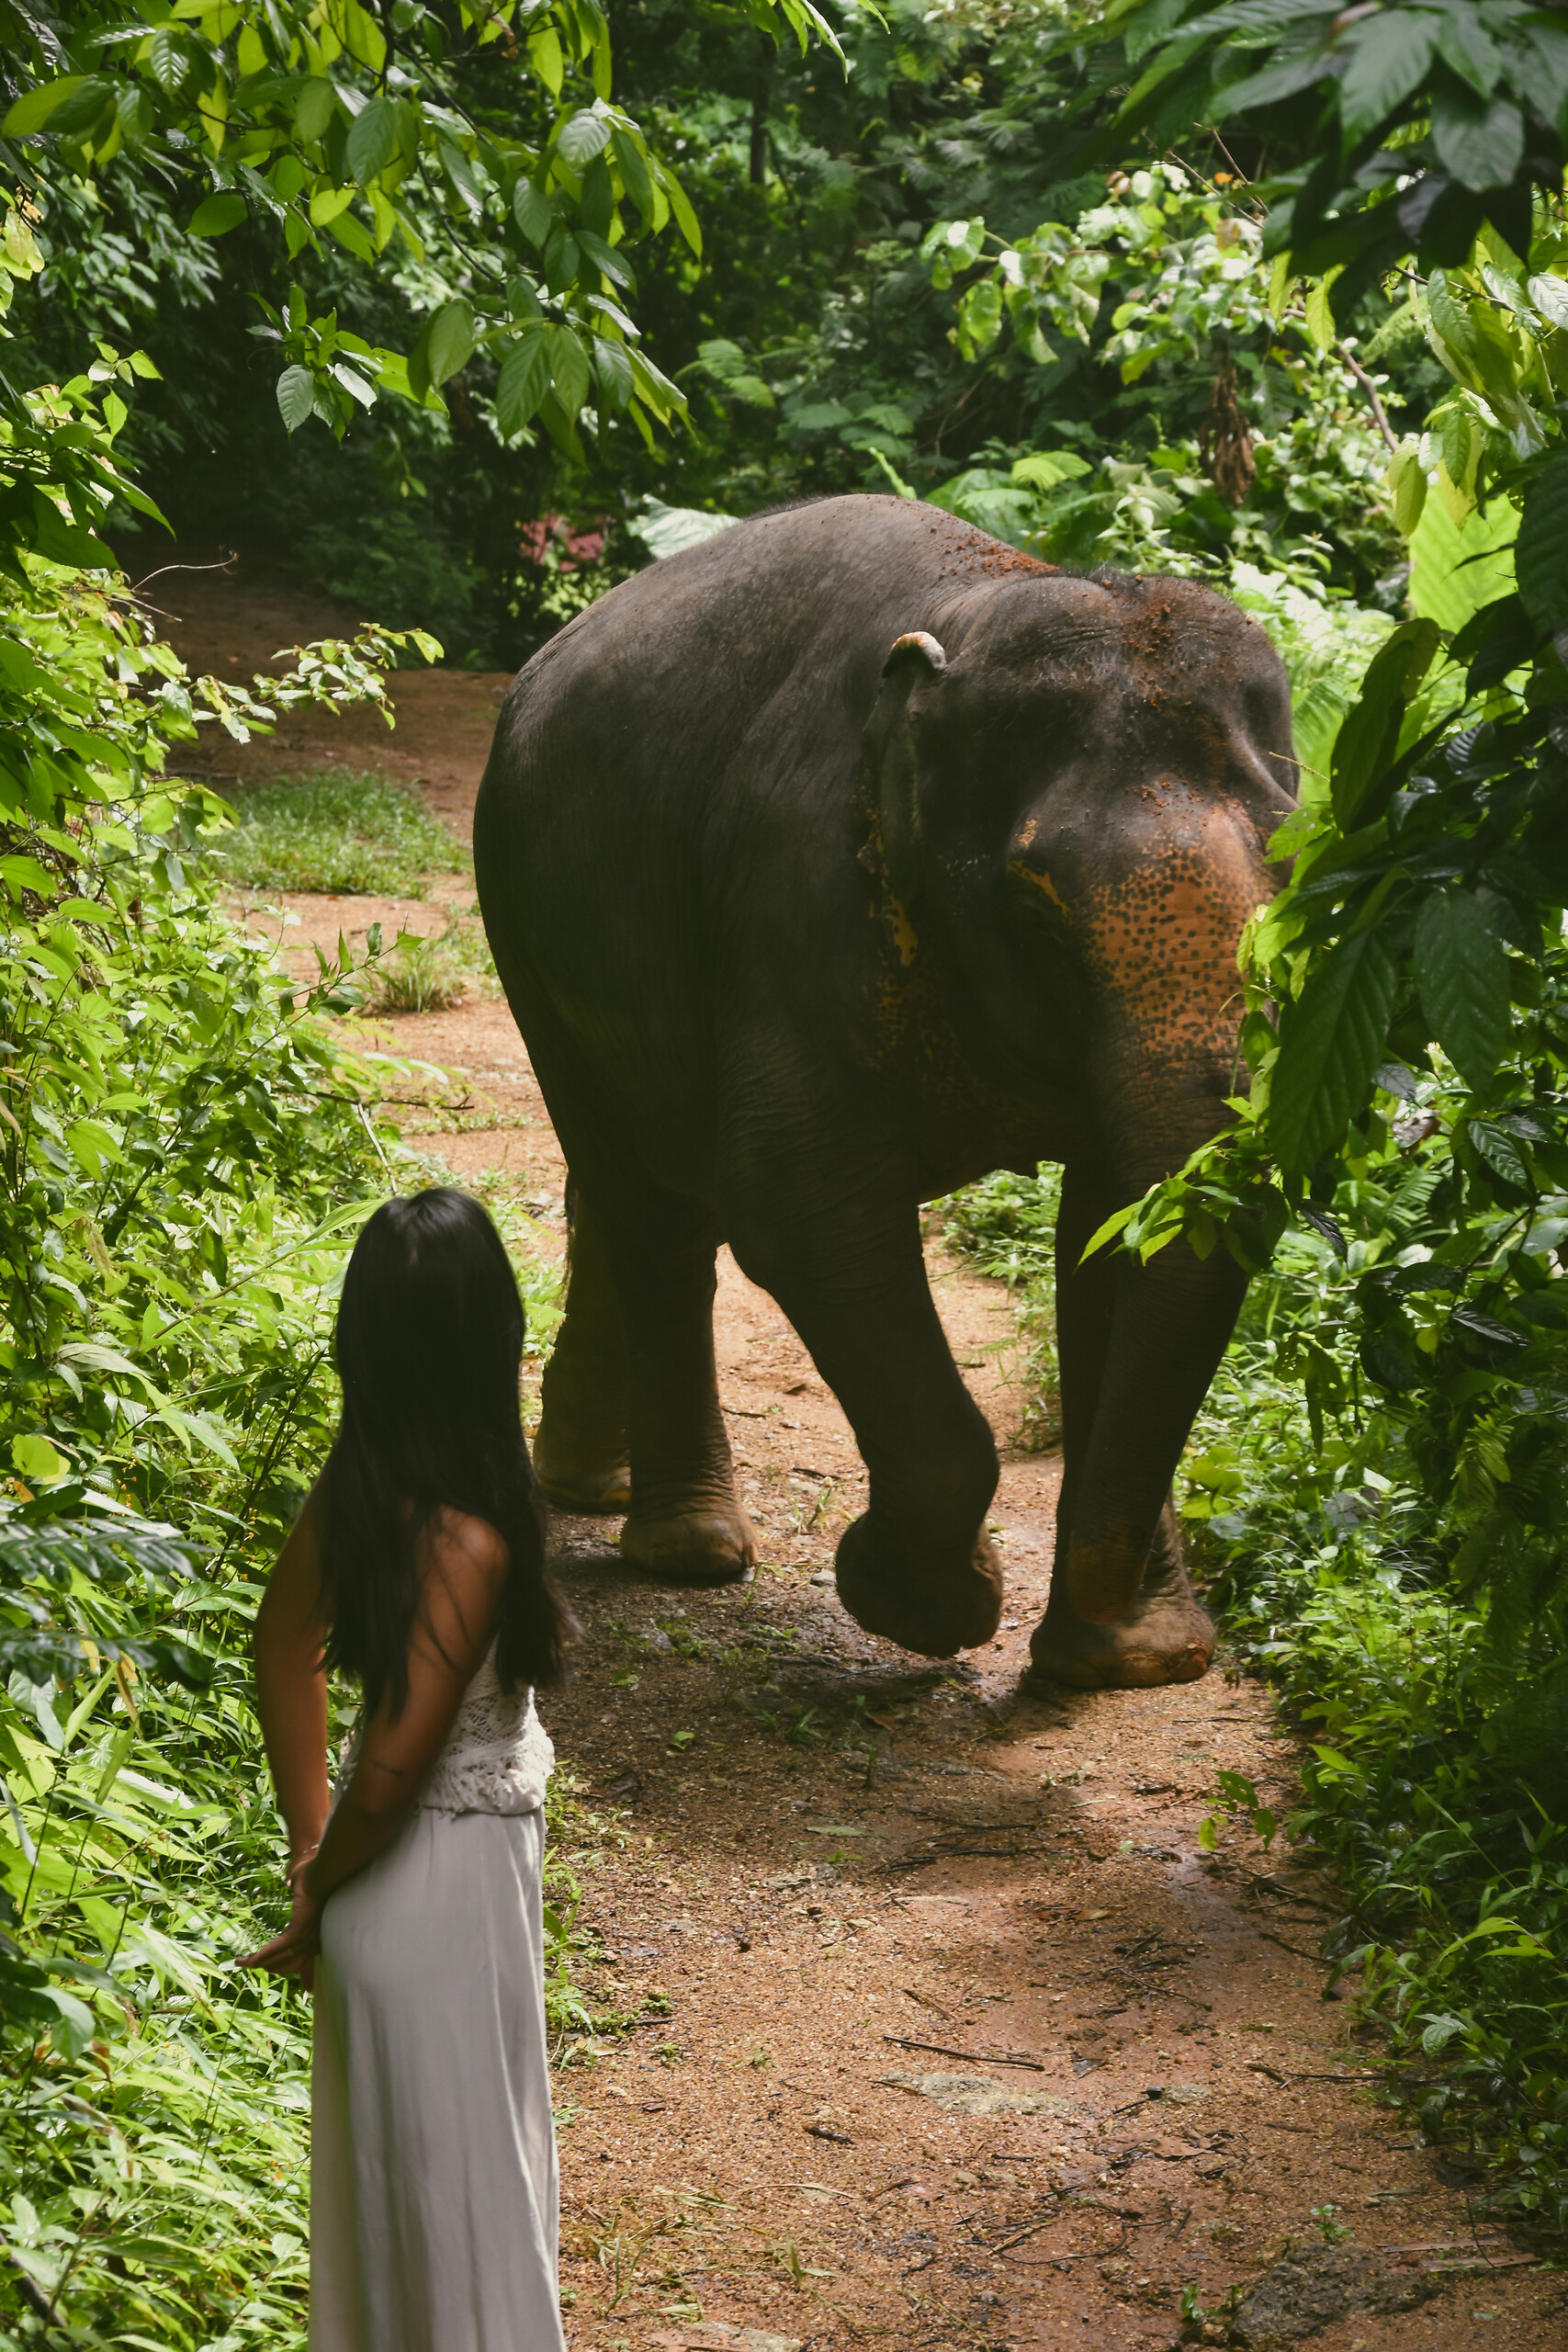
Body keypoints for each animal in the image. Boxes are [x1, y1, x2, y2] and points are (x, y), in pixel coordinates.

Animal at [474, 494, 1295, 1688]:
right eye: (1036, 913)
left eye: (1287, 879)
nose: (1164, 1654)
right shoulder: (799, 886)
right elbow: (803, 1205)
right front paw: (928, 1608)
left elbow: (1110, 1230)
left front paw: (1127, 1662)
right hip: (525, 915)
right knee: (653, 1200)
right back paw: (691, 1550)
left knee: (635, 1184)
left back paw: (591, 1487)